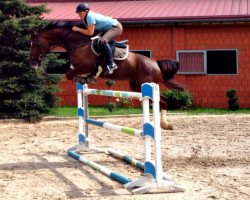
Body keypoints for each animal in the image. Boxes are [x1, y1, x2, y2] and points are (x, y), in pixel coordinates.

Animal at [29, 21, 186, 130]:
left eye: (36, 43)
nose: (33, 63)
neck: (78, 44)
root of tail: (155, 63)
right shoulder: (79, 67)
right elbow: (71, 73)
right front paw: (85, 79)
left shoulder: (86, 66)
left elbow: (69, 74)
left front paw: (84, 79)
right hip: (136, 86)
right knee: (163, 101)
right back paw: (165, 124)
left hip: (147, 83)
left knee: (163, 101)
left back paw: (165, 124)